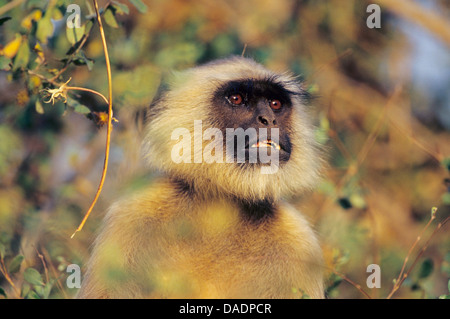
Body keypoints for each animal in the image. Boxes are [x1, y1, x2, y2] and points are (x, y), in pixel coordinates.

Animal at [76, 56, 324, 298]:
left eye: (275, 104)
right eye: (236, 99)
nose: (269, 120)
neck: (221, 210)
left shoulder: (299, 242)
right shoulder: (133, 214)